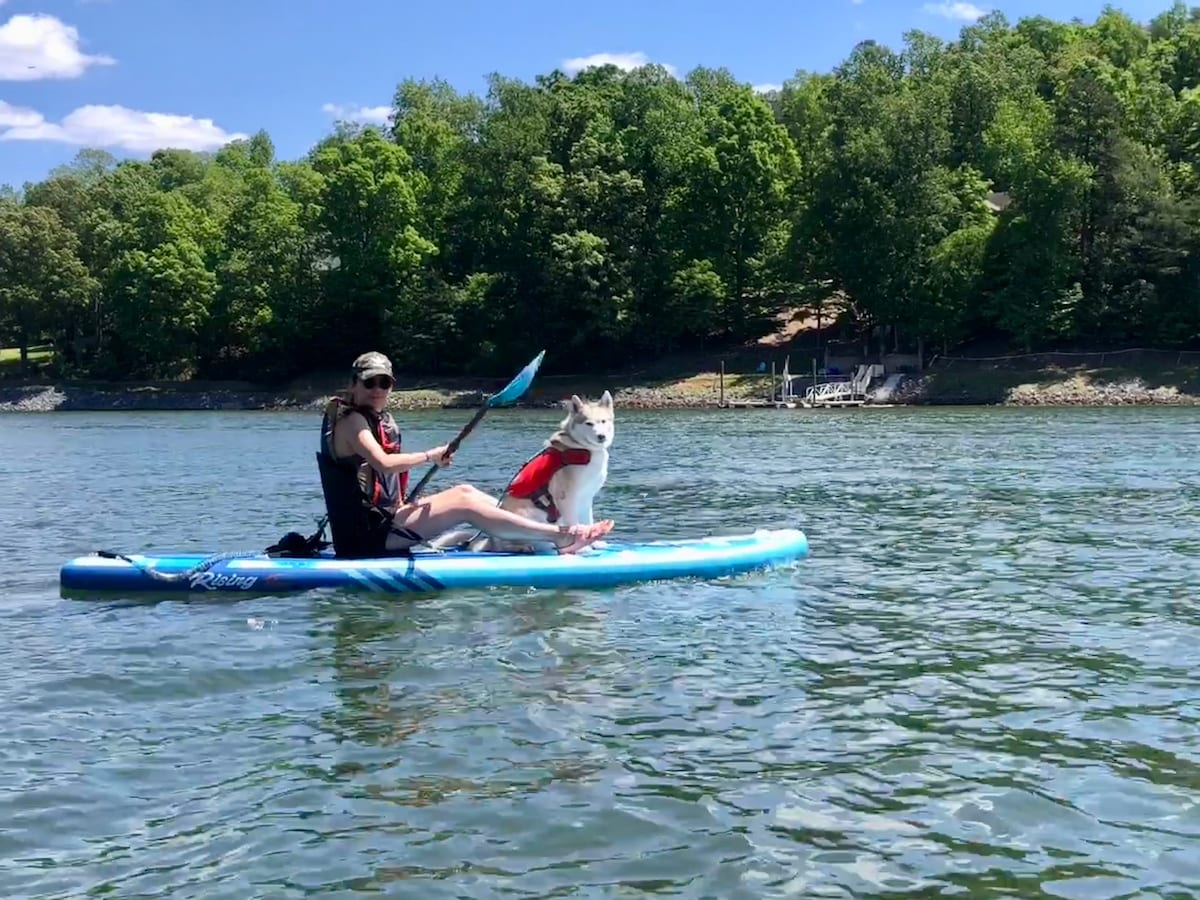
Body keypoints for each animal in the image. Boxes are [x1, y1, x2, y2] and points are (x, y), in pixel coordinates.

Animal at [429, 393, 614, 556]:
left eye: (603, 421)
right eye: (588, 423)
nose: (601, 436)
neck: (581, 448)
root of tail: (489, 541)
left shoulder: (585, 497)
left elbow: (587, 521)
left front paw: (595, 541)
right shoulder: (566, 498)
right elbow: (573, 522)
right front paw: (582, 546)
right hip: (523, 517)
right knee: (507, 543)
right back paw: (521, 547)